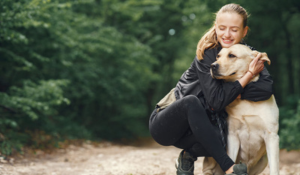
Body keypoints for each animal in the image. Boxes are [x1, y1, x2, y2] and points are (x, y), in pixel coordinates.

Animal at [203, 44, 280, 175]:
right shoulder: (232, 136)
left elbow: (274, 169)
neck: (245, 101)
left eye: (232, 55)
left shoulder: (272, 136)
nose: (212, 65)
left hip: (263, 160)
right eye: (218, 56)